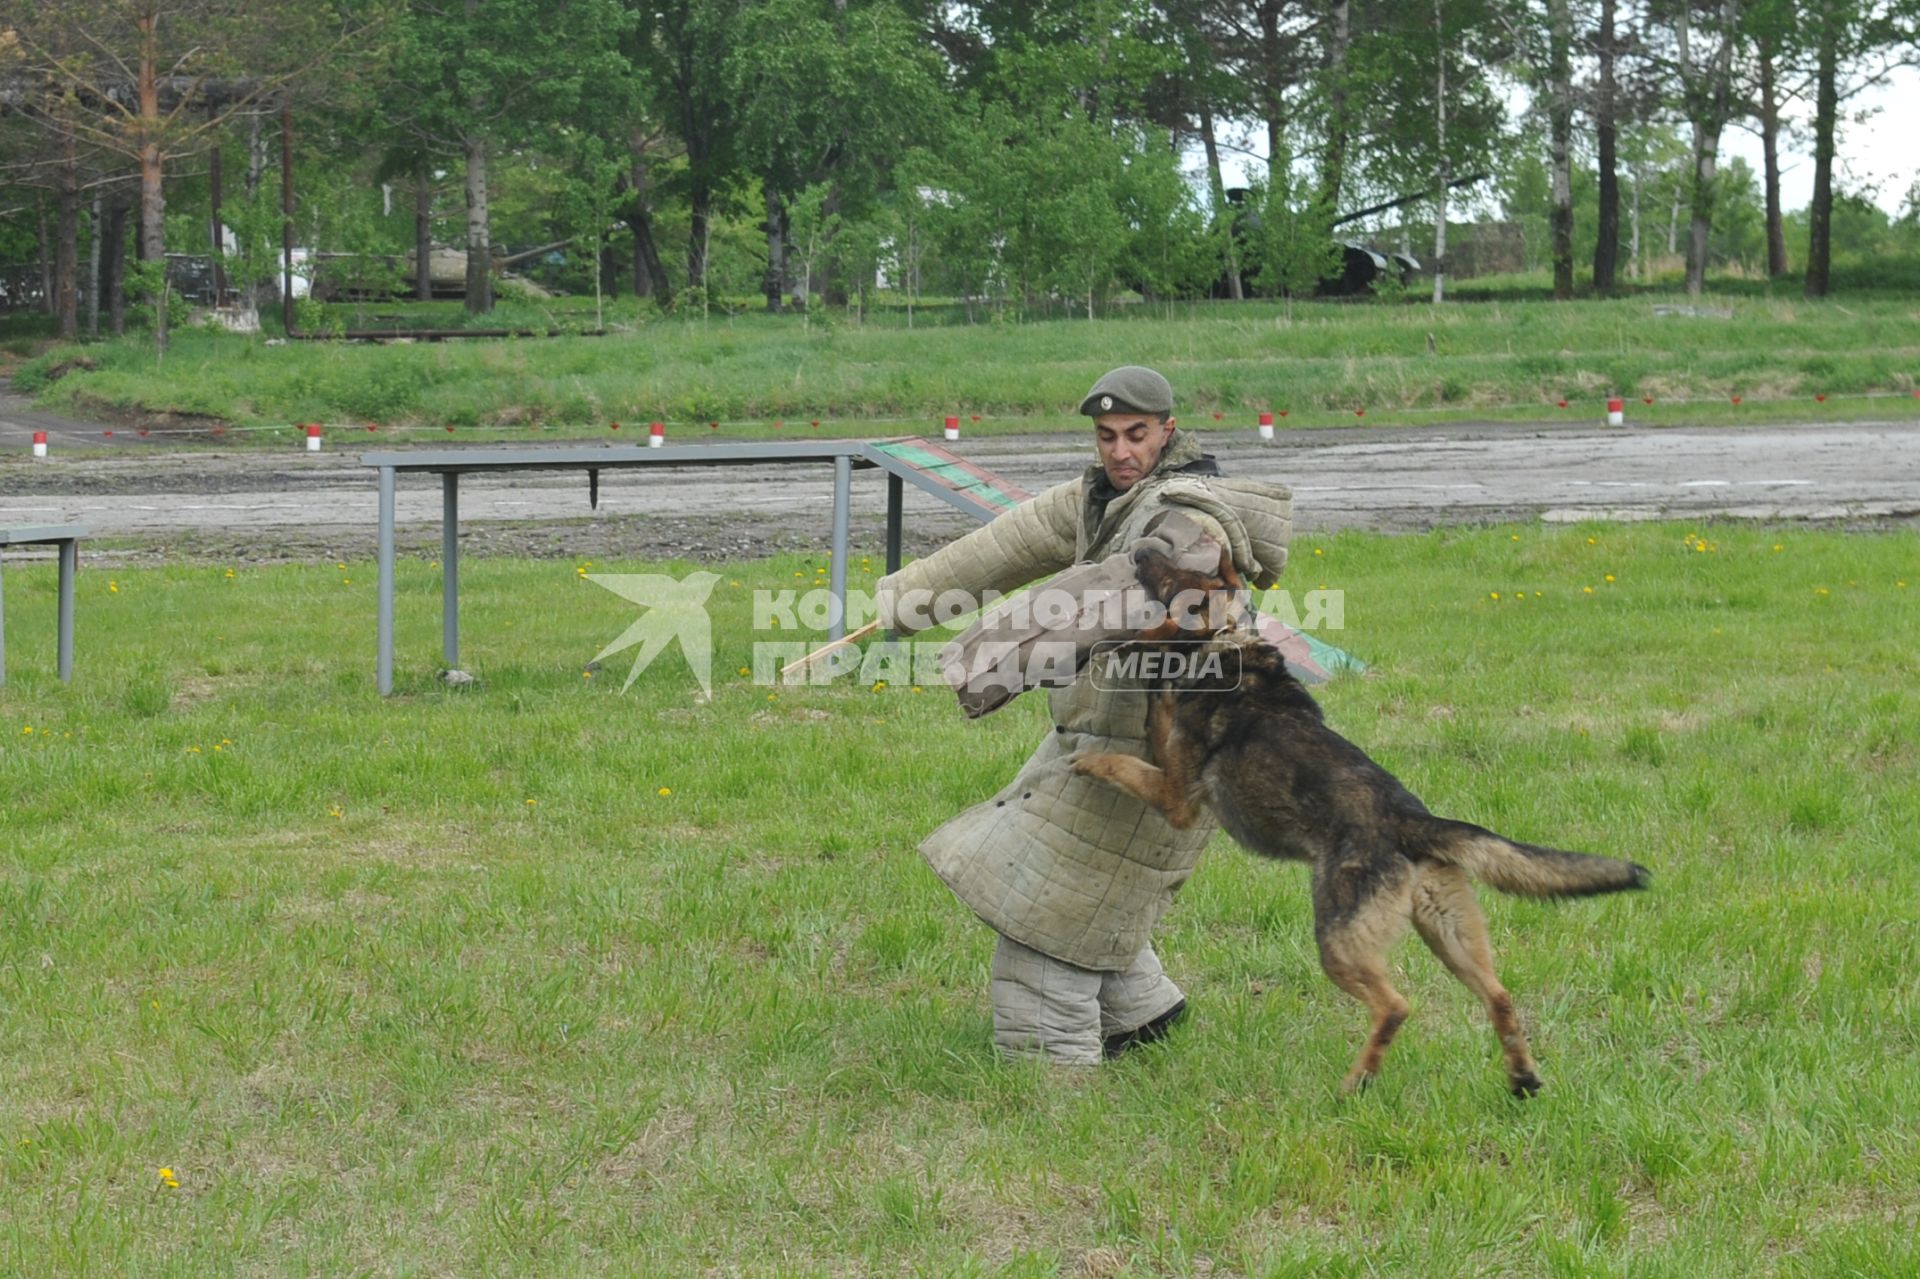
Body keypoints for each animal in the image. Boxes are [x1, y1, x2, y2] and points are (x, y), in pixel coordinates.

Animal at [1067, 541, 1651, 1090]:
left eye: (1177, 578)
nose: (1141, 550)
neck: (1229, 637)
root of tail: (1409, 821)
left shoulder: (1175, 796)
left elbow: (1130, 753)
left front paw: (1093, 756)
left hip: (1340, 942)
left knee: (1395, 1006)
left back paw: (1358, 1083)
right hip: (1451, 937)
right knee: (1500, 995)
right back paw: (1522, 1078)